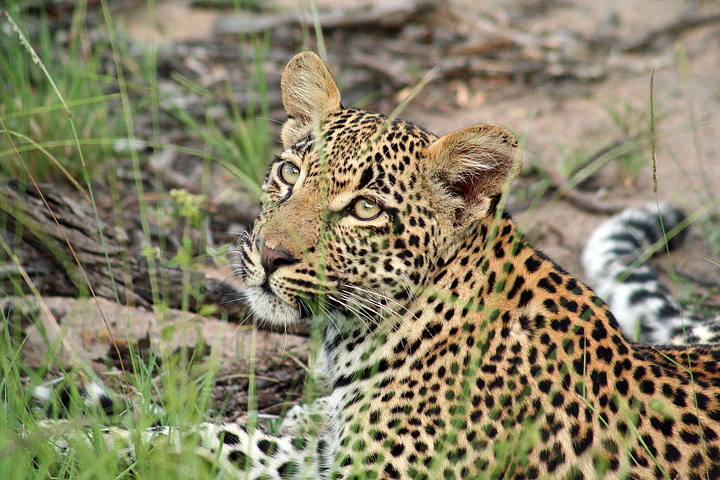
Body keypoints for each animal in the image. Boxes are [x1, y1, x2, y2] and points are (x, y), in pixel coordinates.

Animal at [36, 50, 720, 478]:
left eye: (364, 208)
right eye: (290, 173)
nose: (269, 254)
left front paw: (61, 441)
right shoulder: (320, 457)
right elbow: (221, 437)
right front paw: (66, 436)